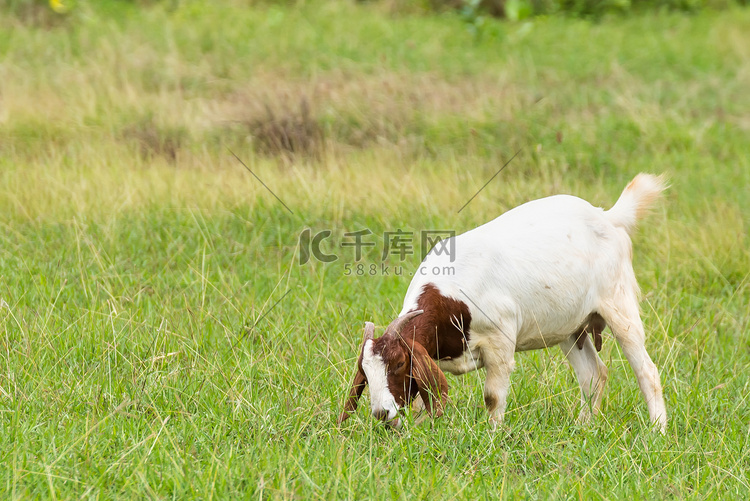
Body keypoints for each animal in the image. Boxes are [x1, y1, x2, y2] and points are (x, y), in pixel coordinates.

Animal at [340, 172, 668, 430]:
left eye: (397, 363)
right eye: (365, 371)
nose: (381, 413)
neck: (451, 301)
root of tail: (607, 216)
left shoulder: (499, 343)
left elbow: (492, 396)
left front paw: (493, 434)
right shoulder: (429, 356)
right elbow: (424, 396)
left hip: (618, 302)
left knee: (646, 370)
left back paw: (657, 430)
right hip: (569, 327)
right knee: (593, 374)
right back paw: (583, 426)